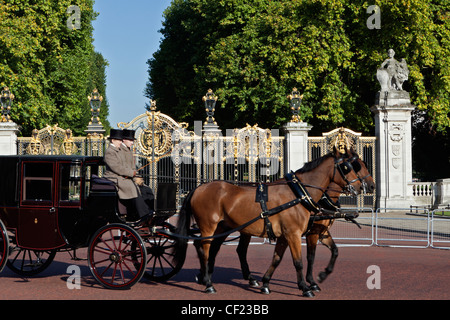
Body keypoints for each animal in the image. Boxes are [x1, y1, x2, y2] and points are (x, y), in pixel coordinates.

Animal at [175, 148, 362, 298]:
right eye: (347, 167)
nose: (362, 187)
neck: (299, 194)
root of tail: (198, 187)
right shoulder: (294, 234)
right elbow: (299, 262)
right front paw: (305, 287)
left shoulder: (287, 236)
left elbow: (277, 259)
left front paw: (266, 283)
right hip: (209, 227)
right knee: (205, 250)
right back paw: (208, 283)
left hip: (223, 227)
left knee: (212, 249)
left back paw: (207, 277)